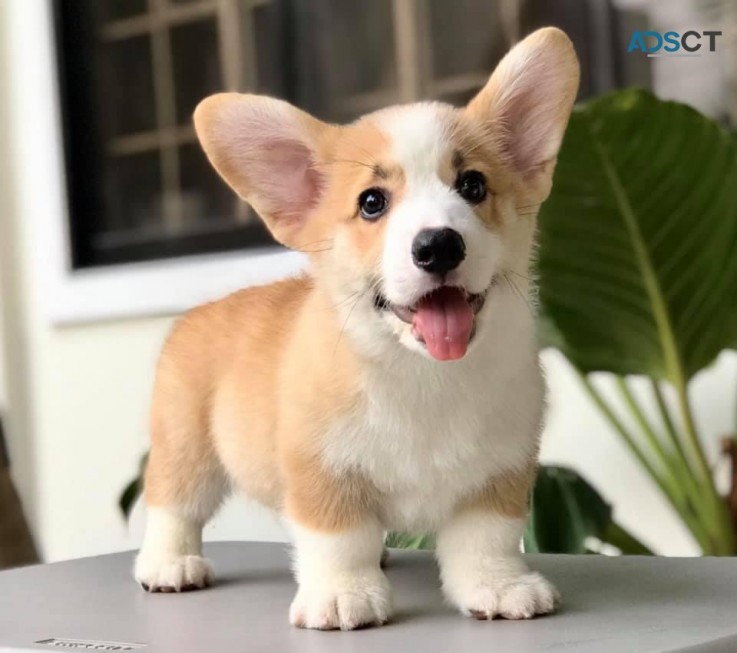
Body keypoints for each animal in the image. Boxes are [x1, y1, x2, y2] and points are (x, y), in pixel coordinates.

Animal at [135, 28, 576, 628]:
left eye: (472, 186)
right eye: (371, 203)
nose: (439, 246)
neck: (422, 374)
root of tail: (199, 311)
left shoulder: (499, 472)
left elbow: (487, 540)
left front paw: (500, 587)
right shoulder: (323, 471)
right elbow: (338, 540)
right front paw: (343, 595)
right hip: (185, 448)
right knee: (172, 505)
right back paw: (168, 564)